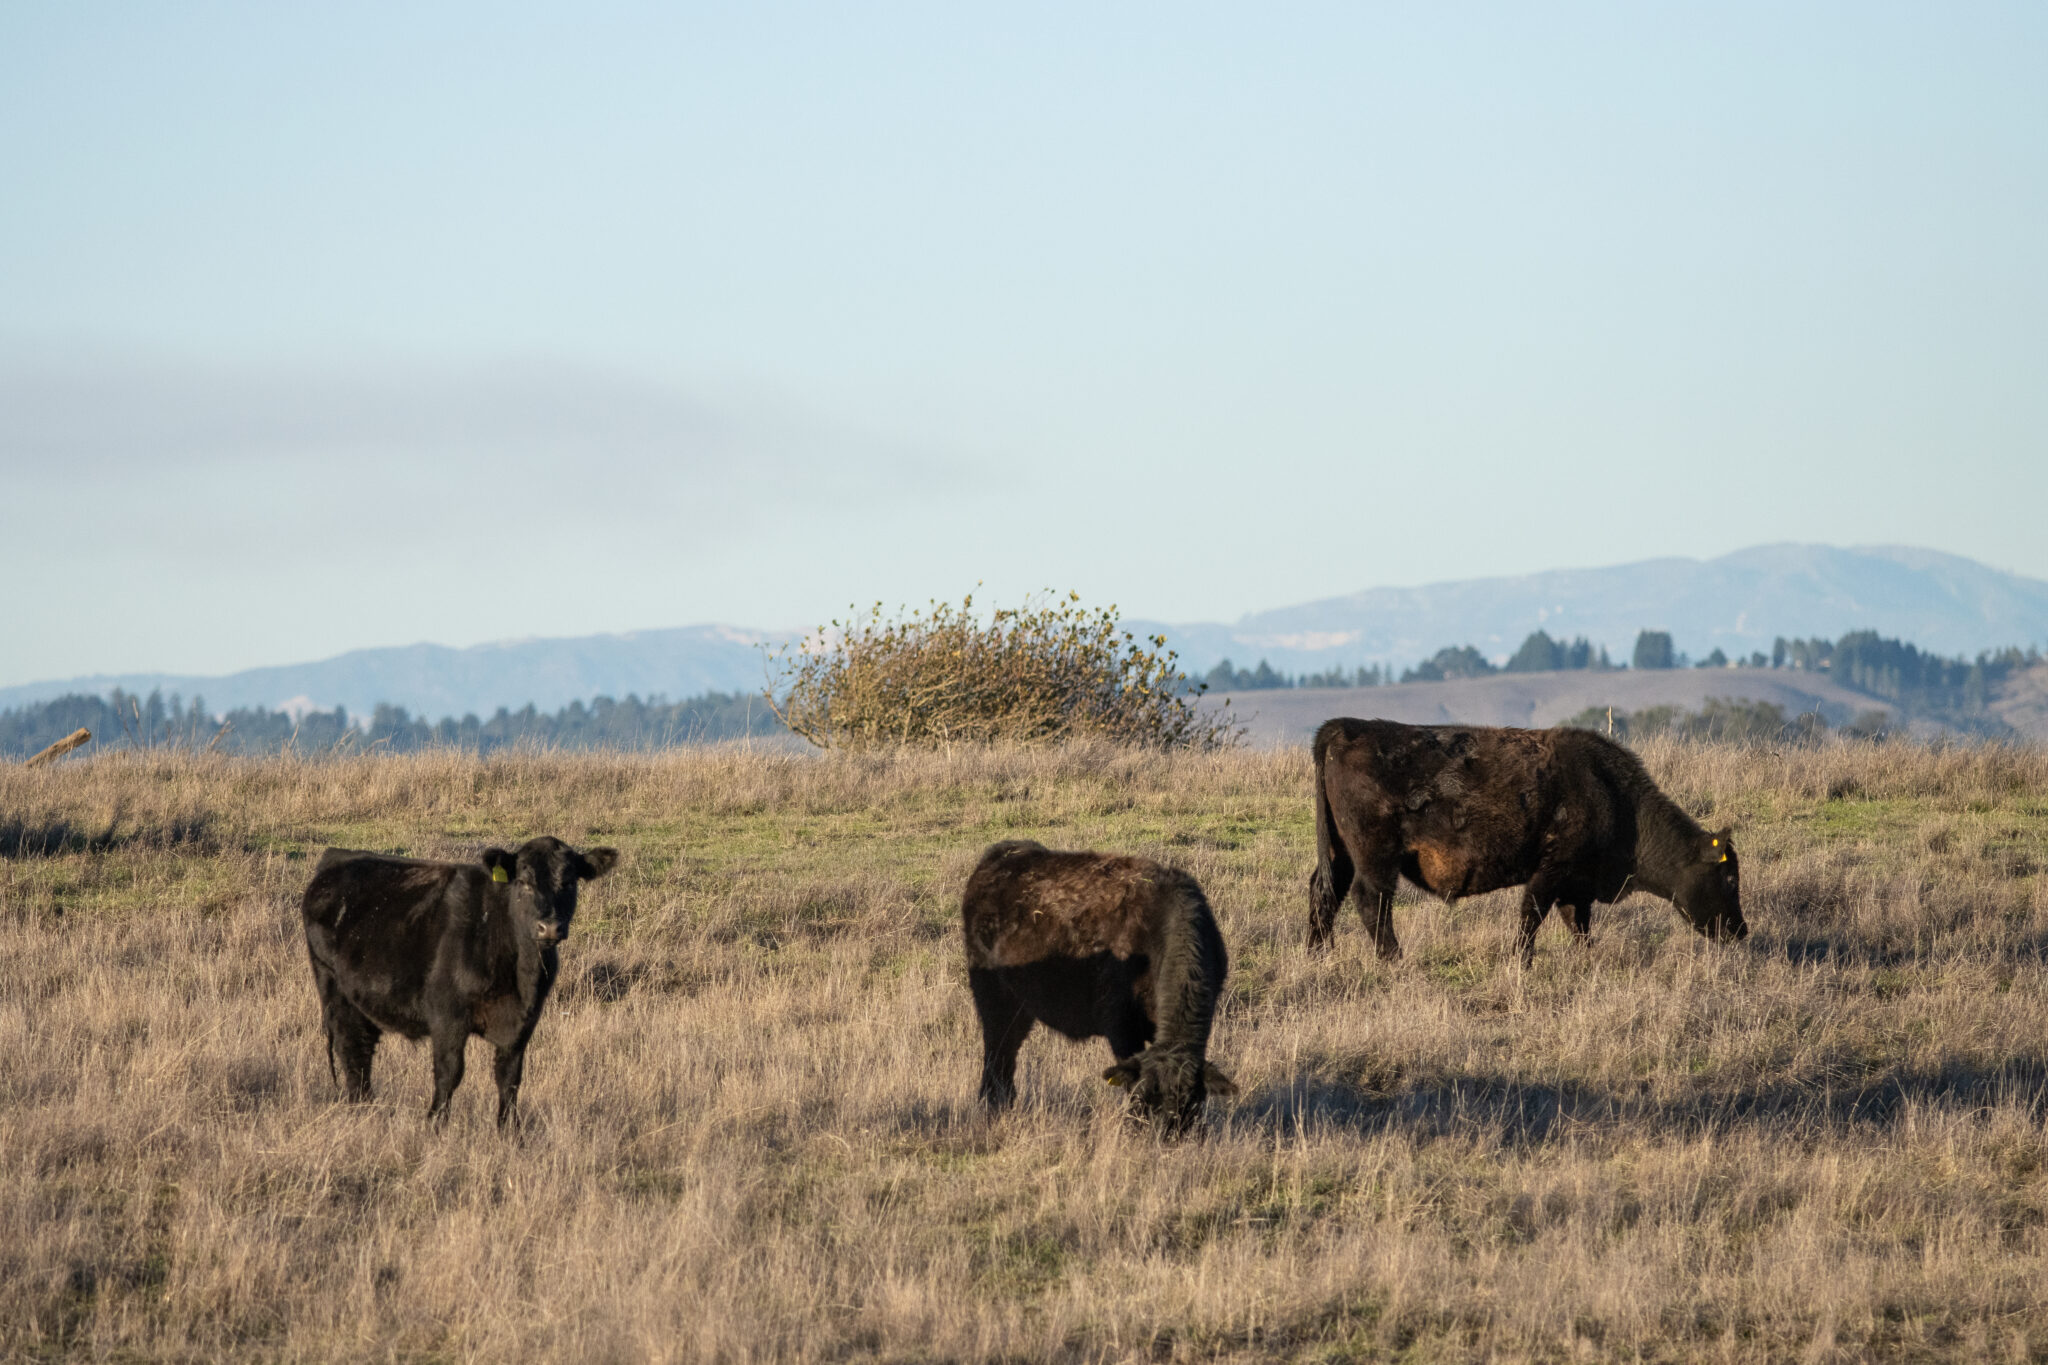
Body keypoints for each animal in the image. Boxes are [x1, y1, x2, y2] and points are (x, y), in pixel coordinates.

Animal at [299, 839, 614, 1129]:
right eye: (523, 882)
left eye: (569, 882)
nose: (549, 927)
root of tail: (337, 858)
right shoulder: (447, 1015)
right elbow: (449, 1072)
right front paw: (435, 1124)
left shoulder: (524, 1023)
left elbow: (509, 1078)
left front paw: (510, 1132)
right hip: (333, 988)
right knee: (352, 1050)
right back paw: (361, 1110)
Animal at [958, 839, 1228, 1137]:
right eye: (1148, 1098)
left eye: (1193, 1100)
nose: (1166, 1133)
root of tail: (1003, 854)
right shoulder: (1120, 1025)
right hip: (993, 998)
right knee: (996, 1050)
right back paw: (992, 1104)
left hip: (1022, 1008)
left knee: (1008, 1053)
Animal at [1310, 720, 1744, 965]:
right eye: (1729, 879)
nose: (1740, 932)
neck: (1610, 793)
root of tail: (1343, 727)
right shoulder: (1551, 871)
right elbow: (1531, 916)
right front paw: (1522, 962)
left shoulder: (1576, 886)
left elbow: (1578, 924)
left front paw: (1587, 958)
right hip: (1375, 856)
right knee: (1371, 900)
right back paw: (1394, 960)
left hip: (1340, 853)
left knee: (1324, 891)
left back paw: (1319, 955)